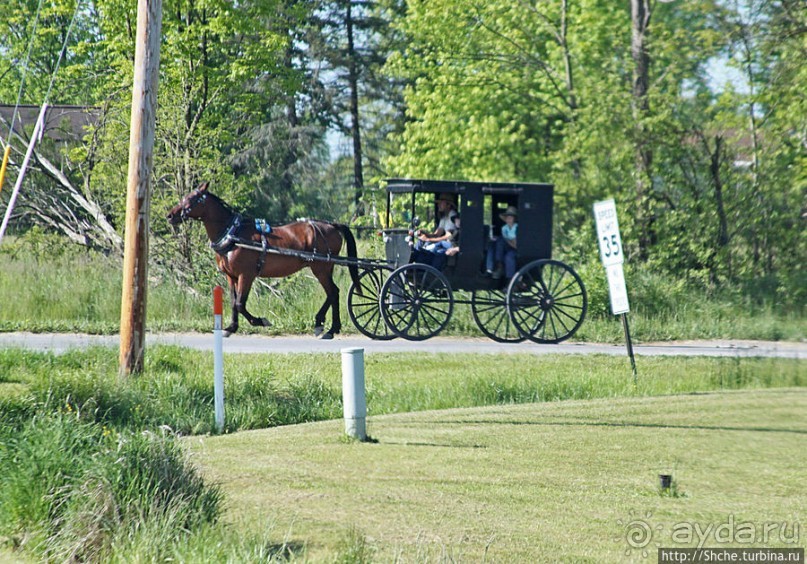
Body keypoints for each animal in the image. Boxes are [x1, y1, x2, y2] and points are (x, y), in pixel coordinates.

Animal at [167, 183, 360, 340]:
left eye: (192, 198)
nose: (170, 215)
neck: (234, 234)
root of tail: (331, 225)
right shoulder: (231, 276)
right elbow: (233, 302)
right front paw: (231, 327)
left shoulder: (246, 275)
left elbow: (240, 303)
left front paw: (260, 321)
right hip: (324, 268)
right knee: (332, 293)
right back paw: (322, 324)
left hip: (321, 268)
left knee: (333, 292)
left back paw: (330, 329)